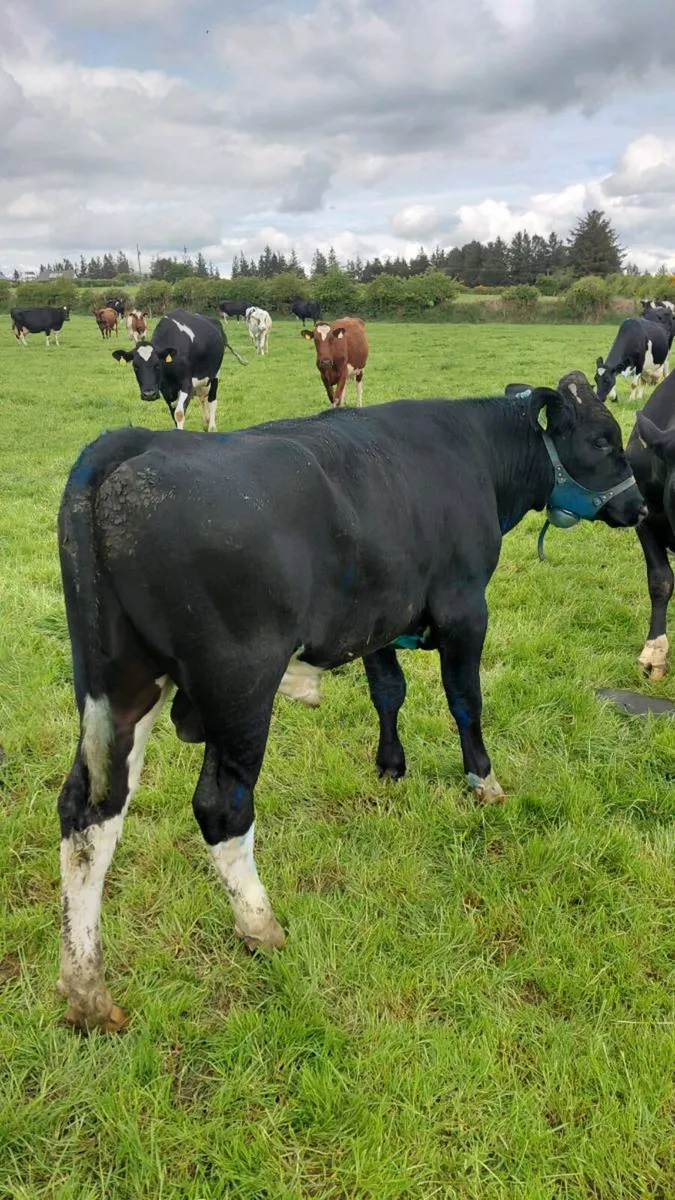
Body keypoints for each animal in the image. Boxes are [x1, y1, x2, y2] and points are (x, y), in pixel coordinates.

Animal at [55, 385, 645, 1030]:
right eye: (602, 441)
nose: (641, 507)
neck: (475, 451)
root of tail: (132, 444)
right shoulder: (465, 608)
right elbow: (465, 699)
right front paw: (483, 782)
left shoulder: (381, 618)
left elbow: (388, 690)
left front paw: (390, 767)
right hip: (240, 690)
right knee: (221, 806)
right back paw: (261, 926)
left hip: (122, 688)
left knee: (90, 813)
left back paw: (86, 990)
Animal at [112, 308, 246, 432]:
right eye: (135, 367)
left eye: (157, 365)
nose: (149, 394)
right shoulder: (166, 390)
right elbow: (173, 413)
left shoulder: (186, 384)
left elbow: (179, 413)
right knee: (203, 398)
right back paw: (207, 422)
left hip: (215, 375)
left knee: (212, 400)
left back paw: (212, 427)